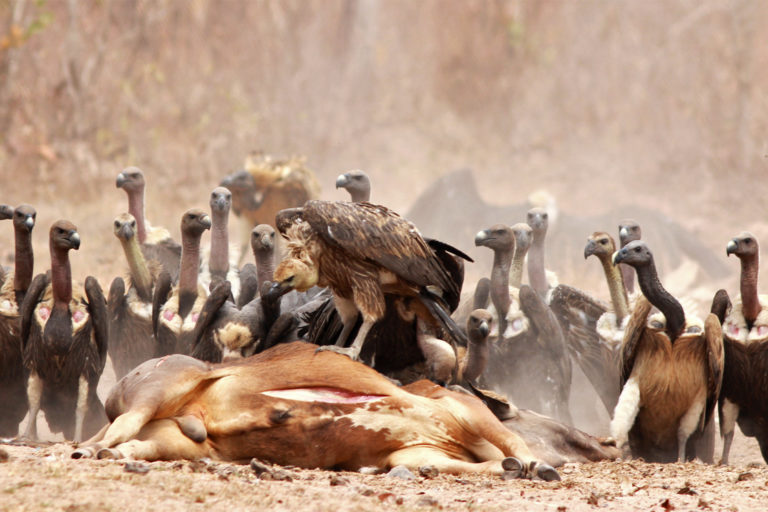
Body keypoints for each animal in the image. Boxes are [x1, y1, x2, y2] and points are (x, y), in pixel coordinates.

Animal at [73, 342, 560, 478]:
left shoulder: (420, 453)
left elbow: (488, 464)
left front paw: (517, 468)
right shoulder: (462, 408)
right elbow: (512, 440)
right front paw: (539, 466)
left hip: (176, 441)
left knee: (133, 444)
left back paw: (108, 454)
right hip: (163, 384)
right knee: (119, 427)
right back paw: (87, 450)